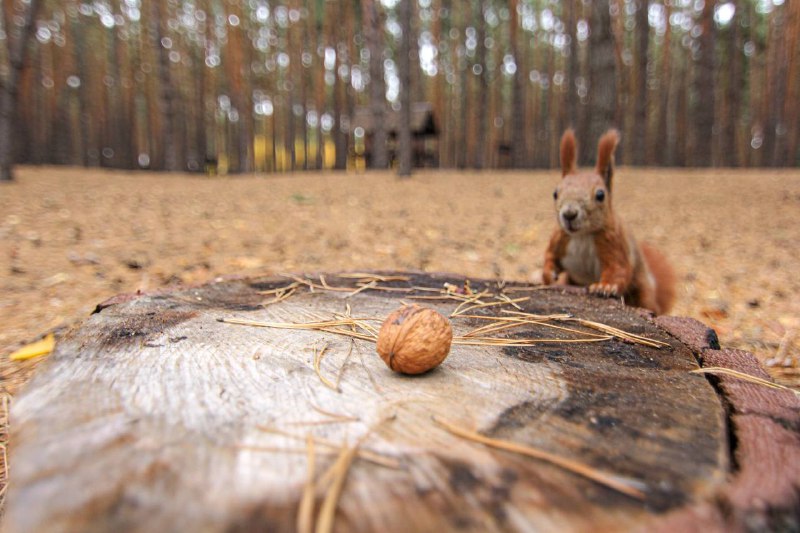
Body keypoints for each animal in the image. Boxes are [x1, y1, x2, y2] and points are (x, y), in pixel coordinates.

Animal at [544, 128, 676, 316]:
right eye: (555, 193)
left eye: (600, 195)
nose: (569, 214)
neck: (582, 235)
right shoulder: (560, 238)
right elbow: (550, 257)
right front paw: (548, 274)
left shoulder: (614, 243)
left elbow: (618, 269)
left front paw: (605, 287)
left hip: (643, 289)